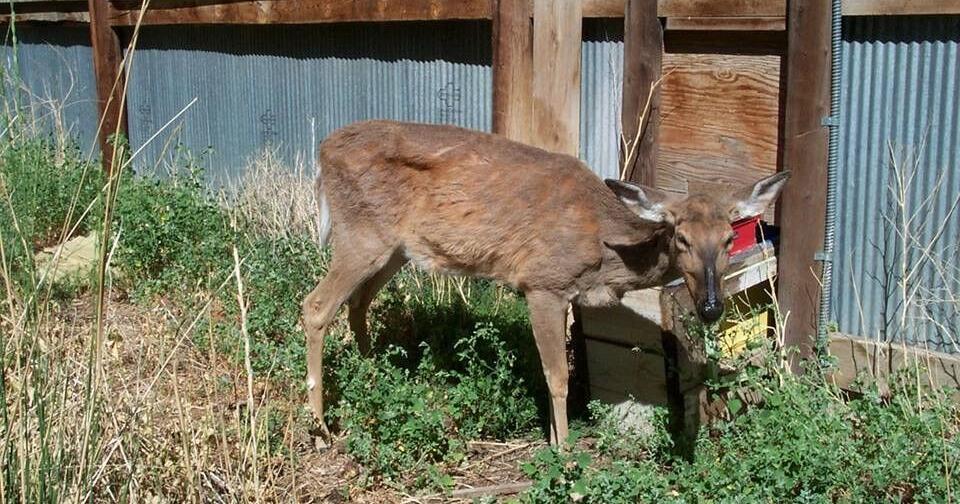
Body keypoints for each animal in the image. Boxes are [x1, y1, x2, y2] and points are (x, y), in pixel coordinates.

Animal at [302, 119, 790, 446]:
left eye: (729, 239)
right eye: (682, 238)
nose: (710, 307)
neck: (604, 250)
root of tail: (322, 152)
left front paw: (556, 440)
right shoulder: (542, 283)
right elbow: (558, 377)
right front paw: (566, 453)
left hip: (395, 249)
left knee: (358, 303)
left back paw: (375, 377)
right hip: (361, 234)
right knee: (315, 306)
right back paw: (322, 427)